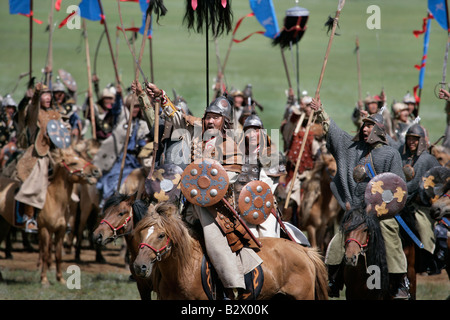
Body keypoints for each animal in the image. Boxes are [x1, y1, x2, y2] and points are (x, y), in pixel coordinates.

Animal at [0, 146, 101, 284]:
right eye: (73, 163)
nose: (96, 171)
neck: (54, 200)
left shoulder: (60, 231)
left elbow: (57, 254)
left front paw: (60, 279)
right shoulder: (44, 230)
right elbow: (46, 253)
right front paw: (44, 279)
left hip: (3, 224)